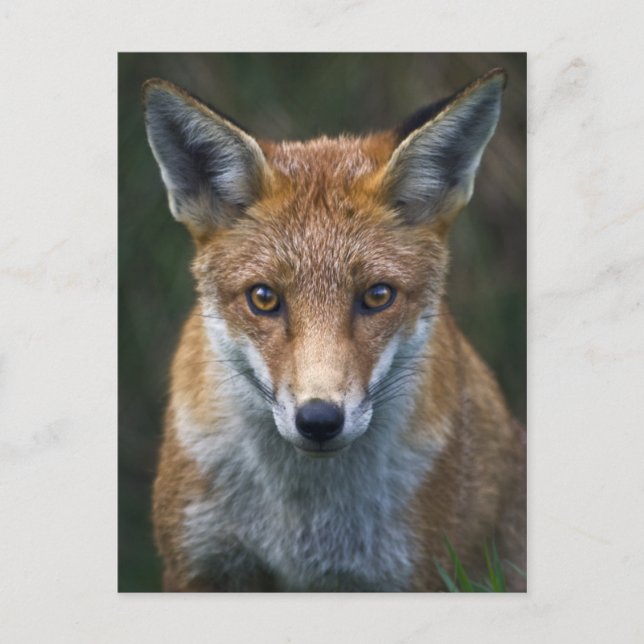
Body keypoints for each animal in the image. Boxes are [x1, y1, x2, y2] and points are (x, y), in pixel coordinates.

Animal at [142, 67, 526, 592]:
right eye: (264, 298)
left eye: (377, 296)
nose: (320, 420)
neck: (302, 529)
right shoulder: (197, 566)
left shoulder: (416, 576)